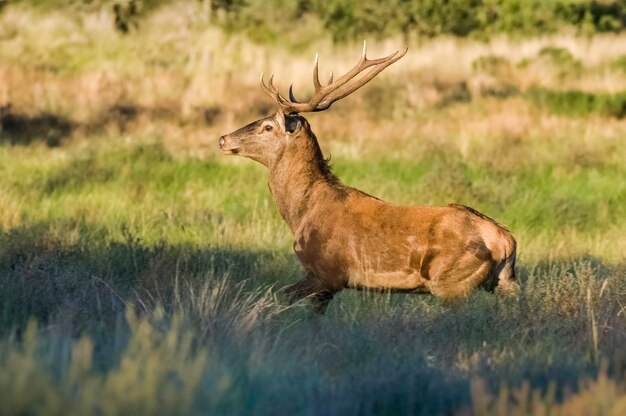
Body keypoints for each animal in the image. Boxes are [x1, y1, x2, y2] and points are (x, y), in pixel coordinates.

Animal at [219, 44, 516, 314]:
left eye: (268, 126)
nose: (223, 139)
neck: (300, 214)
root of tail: (504, 240)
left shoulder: (327, 273)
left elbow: (283, 297)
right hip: (504, 282)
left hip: (451, 282)